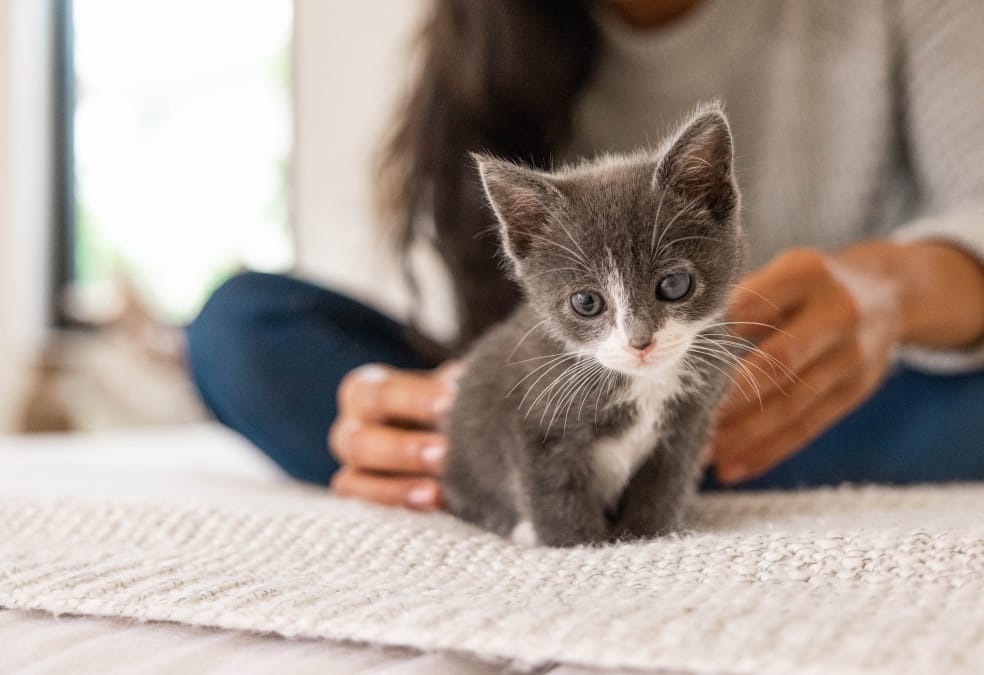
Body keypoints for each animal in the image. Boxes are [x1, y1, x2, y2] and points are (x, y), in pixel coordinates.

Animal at [442, 105, 740, 548]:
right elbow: (554, 491)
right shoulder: (530, 419)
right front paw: (578, 543)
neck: (643, 384)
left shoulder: (690, 421)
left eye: (674, 285)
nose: (640, 342)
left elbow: (664, 484)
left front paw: (650, 534)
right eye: (586, 302)